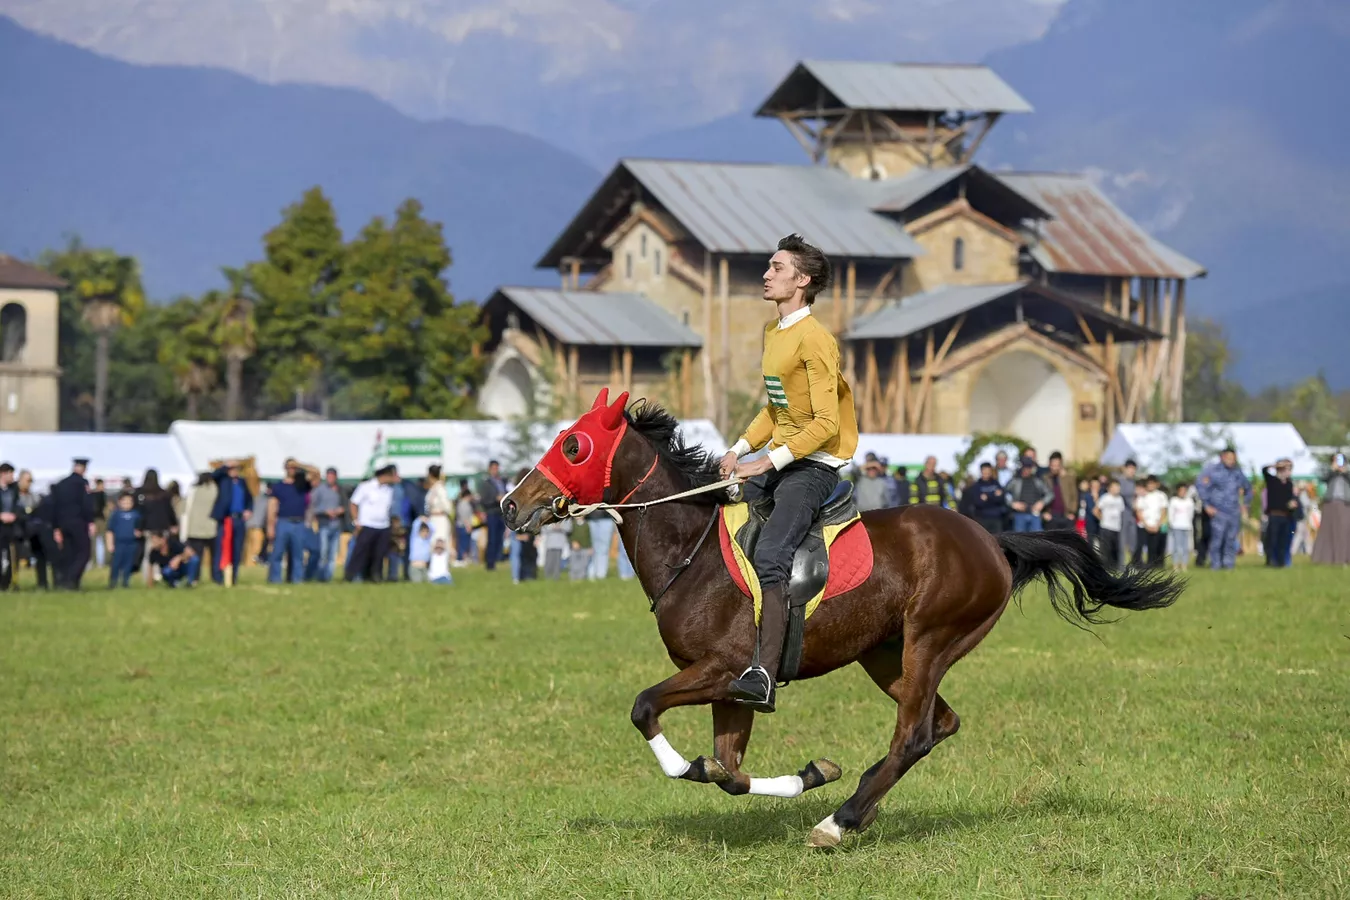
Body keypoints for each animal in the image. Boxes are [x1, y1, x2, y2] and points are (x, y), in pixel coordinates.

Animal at [499, 394, 1182, 847]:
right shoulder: (732, 691)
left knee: (914, 734)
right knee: (940, 723)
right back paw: (862, 802)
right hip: (883, 654)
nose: (509, 504)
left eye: (573, 444)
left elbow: (646, 709)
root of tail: (993, 539)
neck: (689, 549)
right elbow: (728, 773)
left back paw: (841, 820)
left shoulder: (723, 671)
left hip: (930, 641)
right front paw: (811, 773)